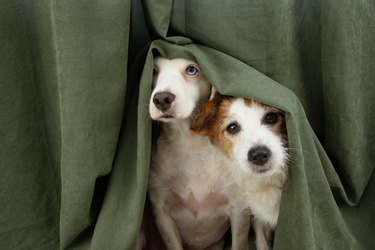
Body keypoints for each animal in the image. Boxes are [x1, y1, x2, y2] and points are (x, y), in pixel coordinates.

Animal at [148, 58, 251, 250]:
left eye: (191, 69)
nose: (162, 99)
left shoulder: (239, 208)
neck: (189, 144)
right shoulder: (161, 211)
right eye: (153, 70)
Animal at [192, 92, 290, 250]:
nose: (259, 155)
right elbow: (262, 243)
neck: (270, 182)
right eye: (232, 127)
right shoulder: (259, 220)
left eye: (271, 117)